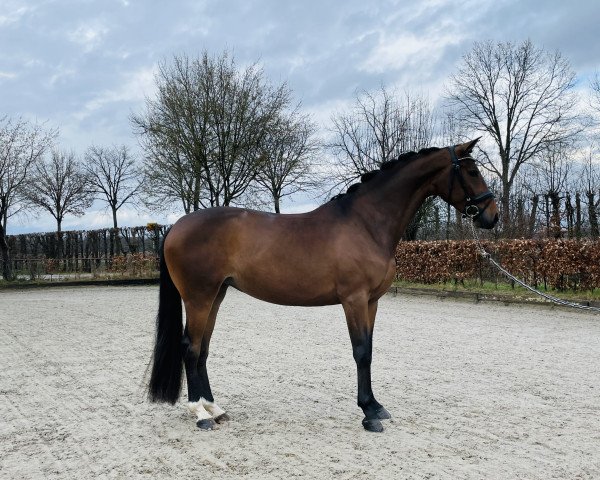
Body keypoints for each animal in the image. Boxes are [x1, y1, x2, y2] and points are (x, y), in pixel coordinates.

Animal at [148, 138, 500, 432]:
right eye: (472, 170)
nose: (492, 216)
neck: (365, 224)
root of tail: (176, 226)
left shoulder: (372, 301)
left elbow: (370, 349)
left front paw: (376, 405)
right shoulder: (354, 299)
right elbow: (361, 351)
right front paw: (368, 414)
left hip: (216, 295)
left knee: (203, 349)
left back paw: (215, 408)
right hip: (199, 297)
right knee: (190, 348)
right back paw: (200, 414)